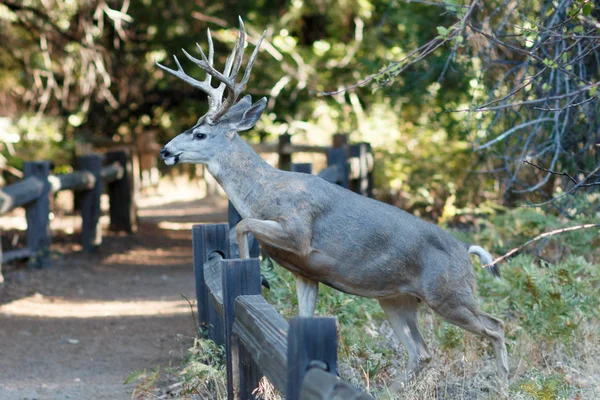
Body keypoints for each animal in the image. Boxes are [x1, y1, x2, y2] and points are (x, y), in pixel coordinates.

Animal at [157, 17, 508, 390]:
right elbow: (301, 314)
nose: (165, 150)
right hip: (397, 298)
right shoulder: (305, 272)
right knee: (422, 352)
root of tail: (466, 251)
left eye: (199, 134)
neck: (264, 191)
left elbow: (242, 224)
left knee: (495, 327)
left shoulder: (299, 230)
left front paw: (254, 269)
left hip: (448, 292)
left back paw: (503, 383)